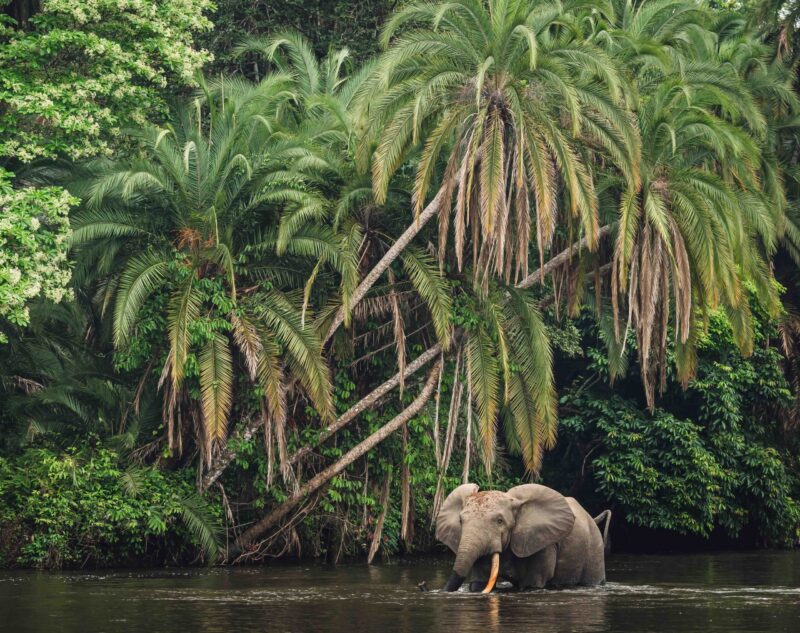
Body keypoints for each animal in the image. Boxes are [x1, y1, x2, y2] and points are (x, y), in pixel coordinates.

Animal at [435, 483, 610, 593]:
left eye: (500, 521)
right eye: (460, 521)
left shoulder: (544, 542)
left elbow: (534, 582)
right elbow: (479, 582)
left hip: (595, 548)